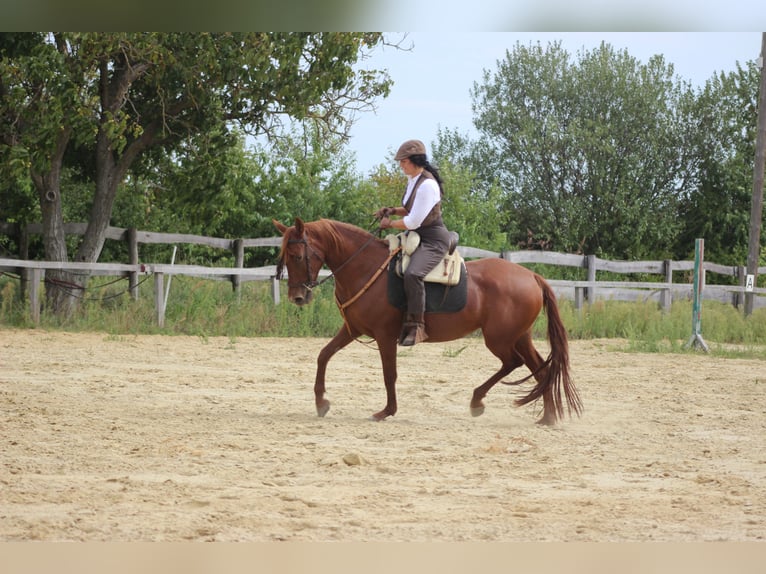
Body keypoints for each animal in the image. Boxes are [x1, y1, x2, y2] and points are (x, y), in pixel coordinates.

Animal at [274, 218, 584, 426]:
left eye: (297, 255)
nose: (297, 297)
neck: (365, 268)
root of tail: (532, 276)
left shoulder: (385, 336)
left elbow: (389, 373)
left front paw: (386, 411)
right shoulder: (353, 330)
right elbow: (324, 355)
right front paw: (321, 403)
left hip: (499, 339)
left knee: (514, 363)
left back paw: (477, 401)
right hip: (519, 336)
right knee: (541, 369)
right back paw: (547, 417)